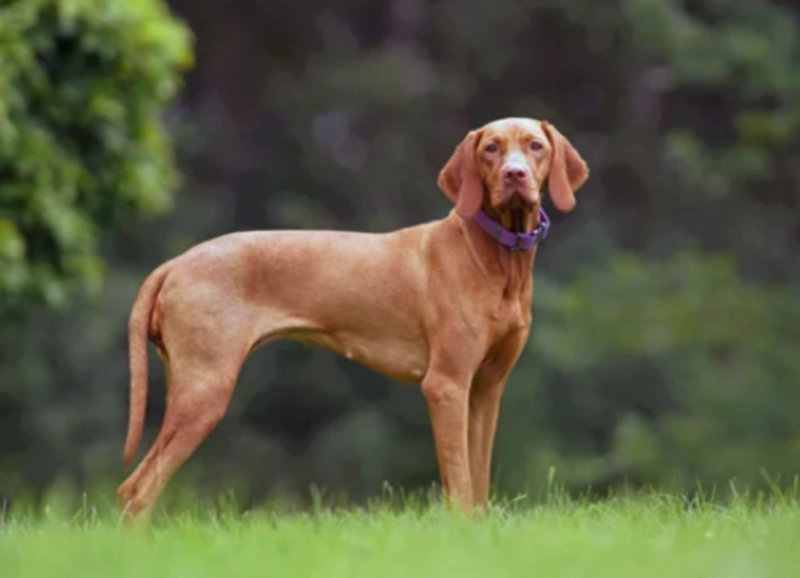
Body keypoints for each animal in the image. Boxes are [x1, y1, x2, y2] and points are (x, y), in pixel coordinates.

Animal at [117, 117, 588, 516]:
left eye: (535, 146)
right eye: (491, 148)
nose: (515, 175)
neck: (496, 260)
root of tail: (176, 262)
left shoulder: (487, 389)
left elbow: (478, 483)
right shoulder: (446, 385)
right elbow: (458, 481)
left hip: (186, 385)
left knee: (131, 488)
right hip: (206, 391)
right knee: (139, 489)